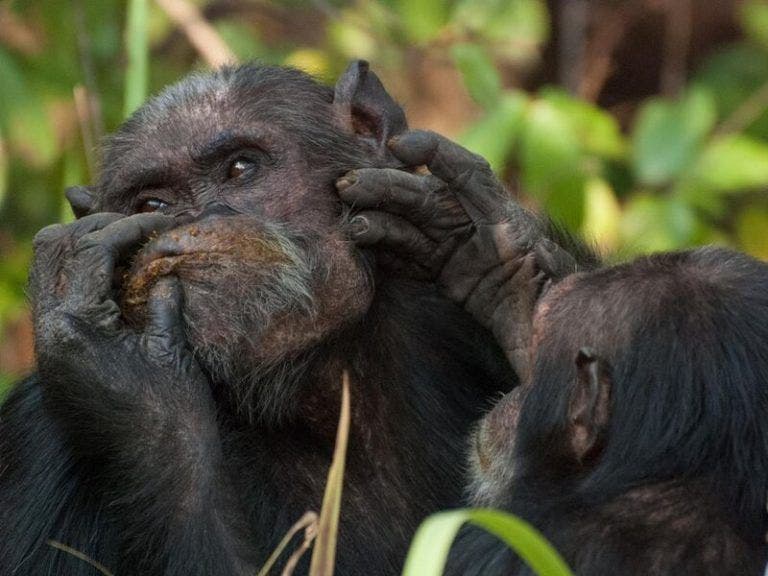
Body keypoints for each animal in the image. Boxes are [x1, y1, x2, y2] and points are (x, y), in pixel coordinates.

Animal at [0, 60, 592, 572]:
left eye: (241, 167)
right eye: (152, 205)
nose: (203, 220)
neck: (323, 388)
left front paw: (500, 259)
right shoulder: (38, 449)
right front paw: (129, 376)